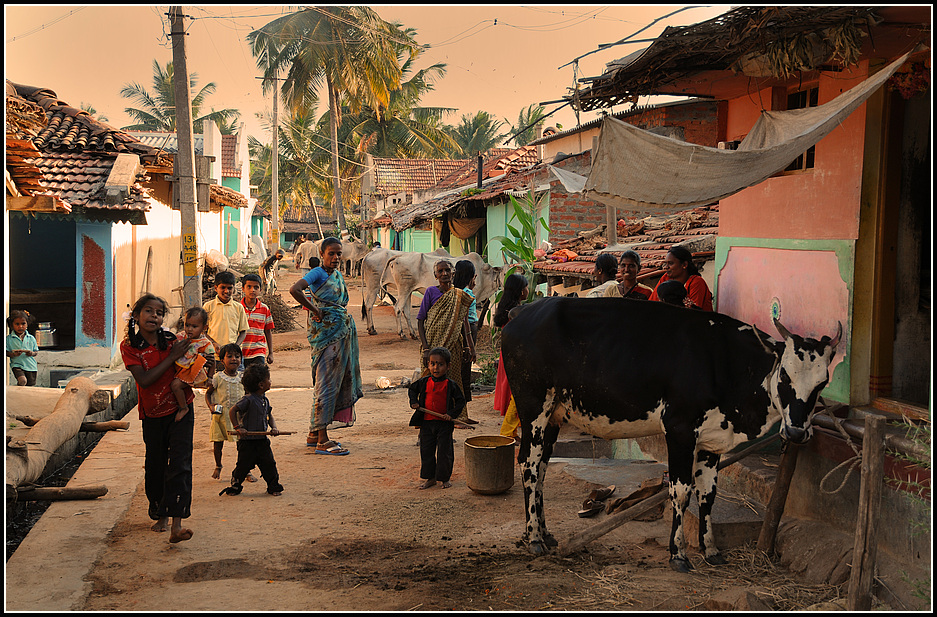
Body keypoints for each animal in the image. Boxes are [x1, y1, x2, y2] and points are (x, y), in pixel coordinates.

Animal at [504, 296, 840, 572]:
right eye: (784, 376)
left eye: (823, 382)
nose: (796, 432)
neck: (726, 362)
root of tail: (523, 311)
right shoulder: (680, 430)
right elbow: (680, 492)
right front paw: (678, 554)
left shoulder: (712, 439)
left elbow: (707, 495)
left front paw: (711, 550)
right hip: (534, 408)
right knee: (529, 466)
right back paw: (534, 538)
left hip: (554, 415)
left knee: (542, 469)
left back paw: (544, 533)